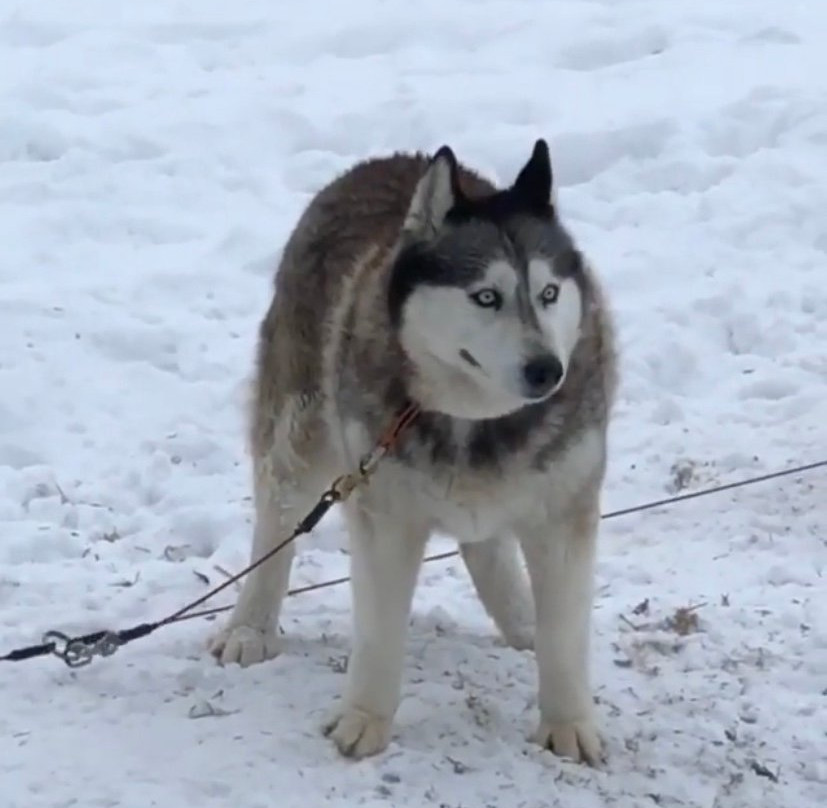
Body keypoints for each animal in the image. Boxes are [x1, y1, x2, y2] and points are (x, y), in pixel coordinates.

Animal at [210, 139, 616, 764]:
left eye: (549, 294)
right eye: (486, 297)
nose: (548, 369)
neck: (477, 421)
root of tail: (388, 158)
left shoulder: (564, 507)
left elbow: (566, 634)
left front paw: (569, 722)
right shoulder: (384, 512)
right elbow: (379, 631)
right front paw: (365, 718)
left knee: (486, 545)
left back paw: (522, 618)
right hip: (303, 429)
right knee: (278, 521)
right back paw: (250, 626)